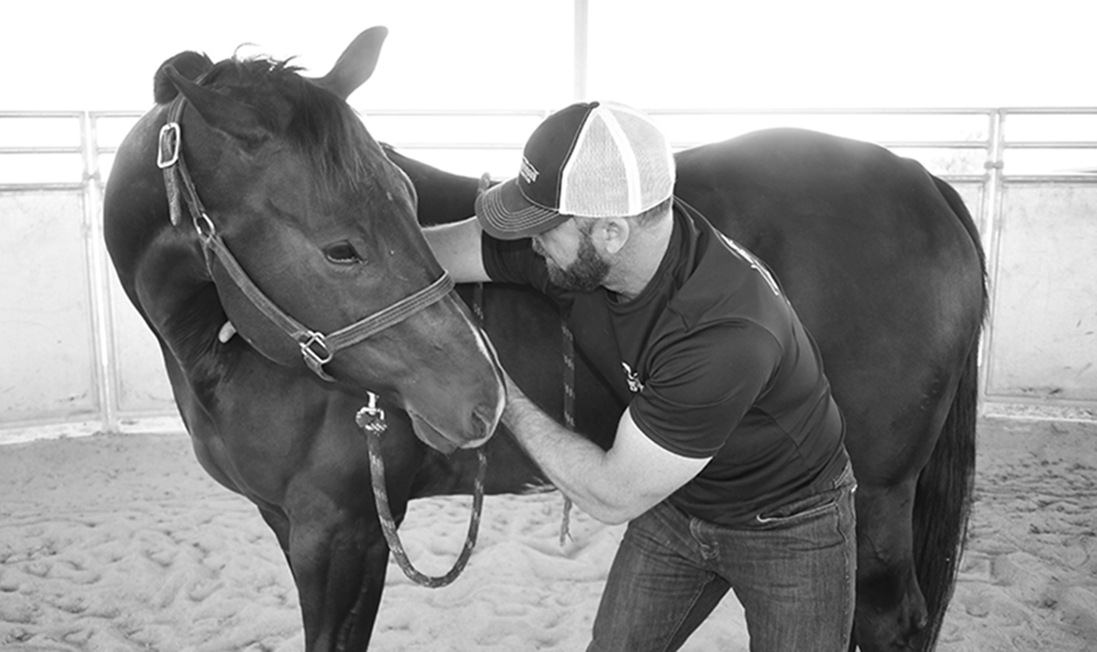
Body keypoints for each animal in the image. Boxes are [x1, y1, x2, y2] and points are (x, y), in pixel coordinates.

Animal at [102, 27, 508, 650]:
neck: (222, 360)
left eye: (412, 200)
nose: (486, 395)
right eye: (340, 250)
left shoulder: (345, 532)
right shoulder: (291, 523)